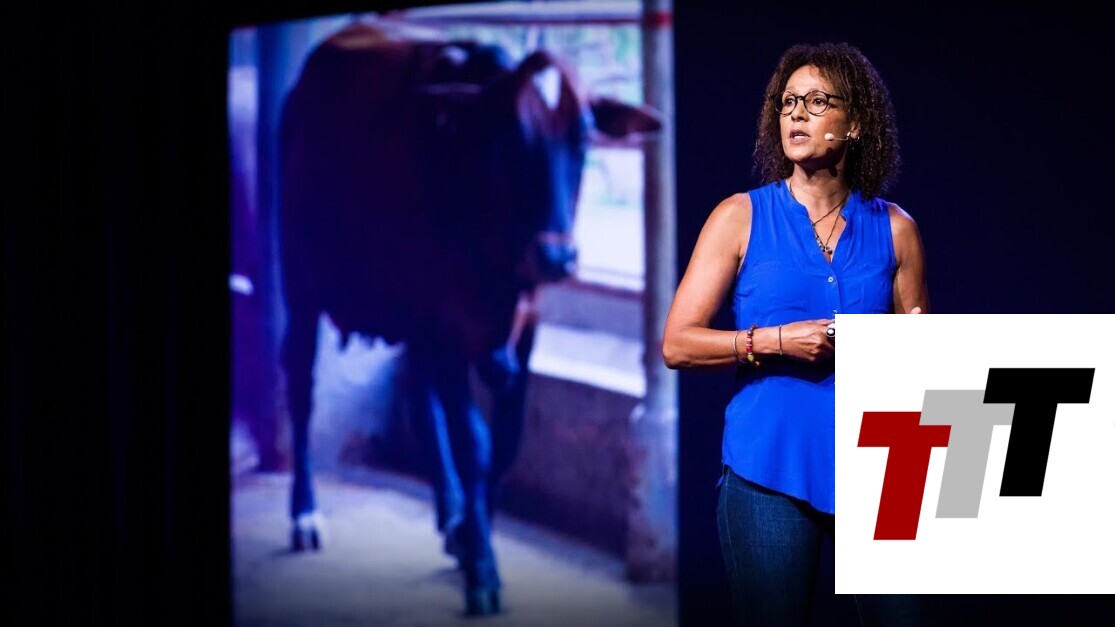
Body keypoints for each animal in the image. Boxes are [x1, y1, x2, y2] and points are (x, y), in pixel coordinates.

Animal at [275, 18, 661, 616]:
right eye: (511, 140)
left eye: (580, 137)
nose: (556, 258)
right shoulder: (449, 325)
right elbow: (476, 445)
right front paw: (482, 565)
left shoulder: (522, 330)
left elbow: (505, 443)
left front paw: (472, 533)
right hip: (301, 278)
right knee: (301, 386)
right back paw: (305, 512)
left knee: (420, 395)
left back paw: (452, 514)